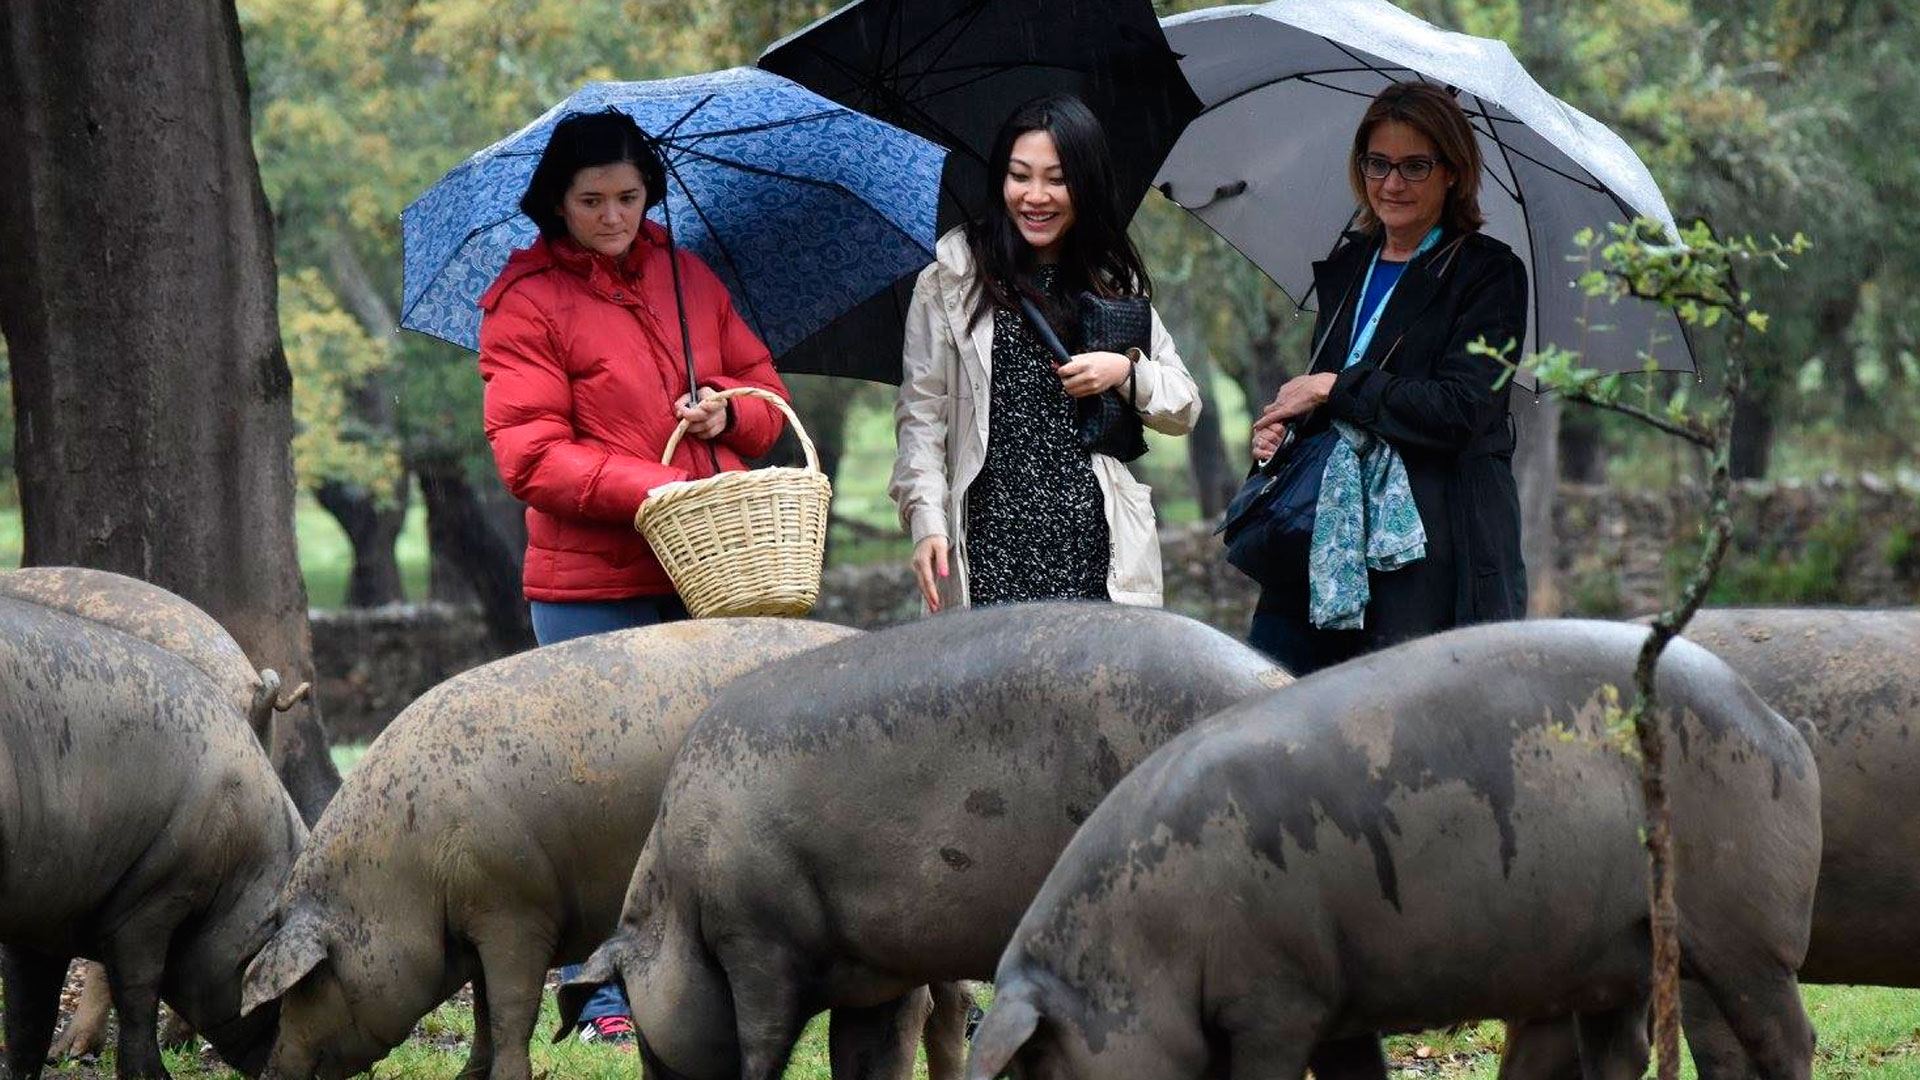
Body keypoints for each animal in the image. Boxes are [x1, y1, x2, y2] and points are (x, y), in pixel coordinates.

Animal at [243, 618, 860, 1076]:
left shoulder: (514, 912)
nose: (271, 1068)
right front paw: (468, 1075)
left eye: (309, 984)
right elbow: (485, 1011)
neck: (405, 871)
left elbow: (511, 1012)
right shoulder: (478, 927)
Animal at [564, 599, 1290, 1076]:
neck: (674, 900)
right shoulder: (875, 975)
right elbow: (869, 1057)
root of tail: (1276, 680)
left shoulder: (756, 942)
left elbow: (761, 1047)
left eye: (635, 1010)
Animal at [967, 618, 1820, 1076]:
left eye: (1043, 1063)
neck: (1150, 938)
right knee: (1619, 1051)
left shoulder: (1276, 997)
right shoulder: (1335, 999)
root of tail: (1779, 725)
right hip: (1619, 952)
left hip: (1745, 936)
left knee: (1787, 1036)